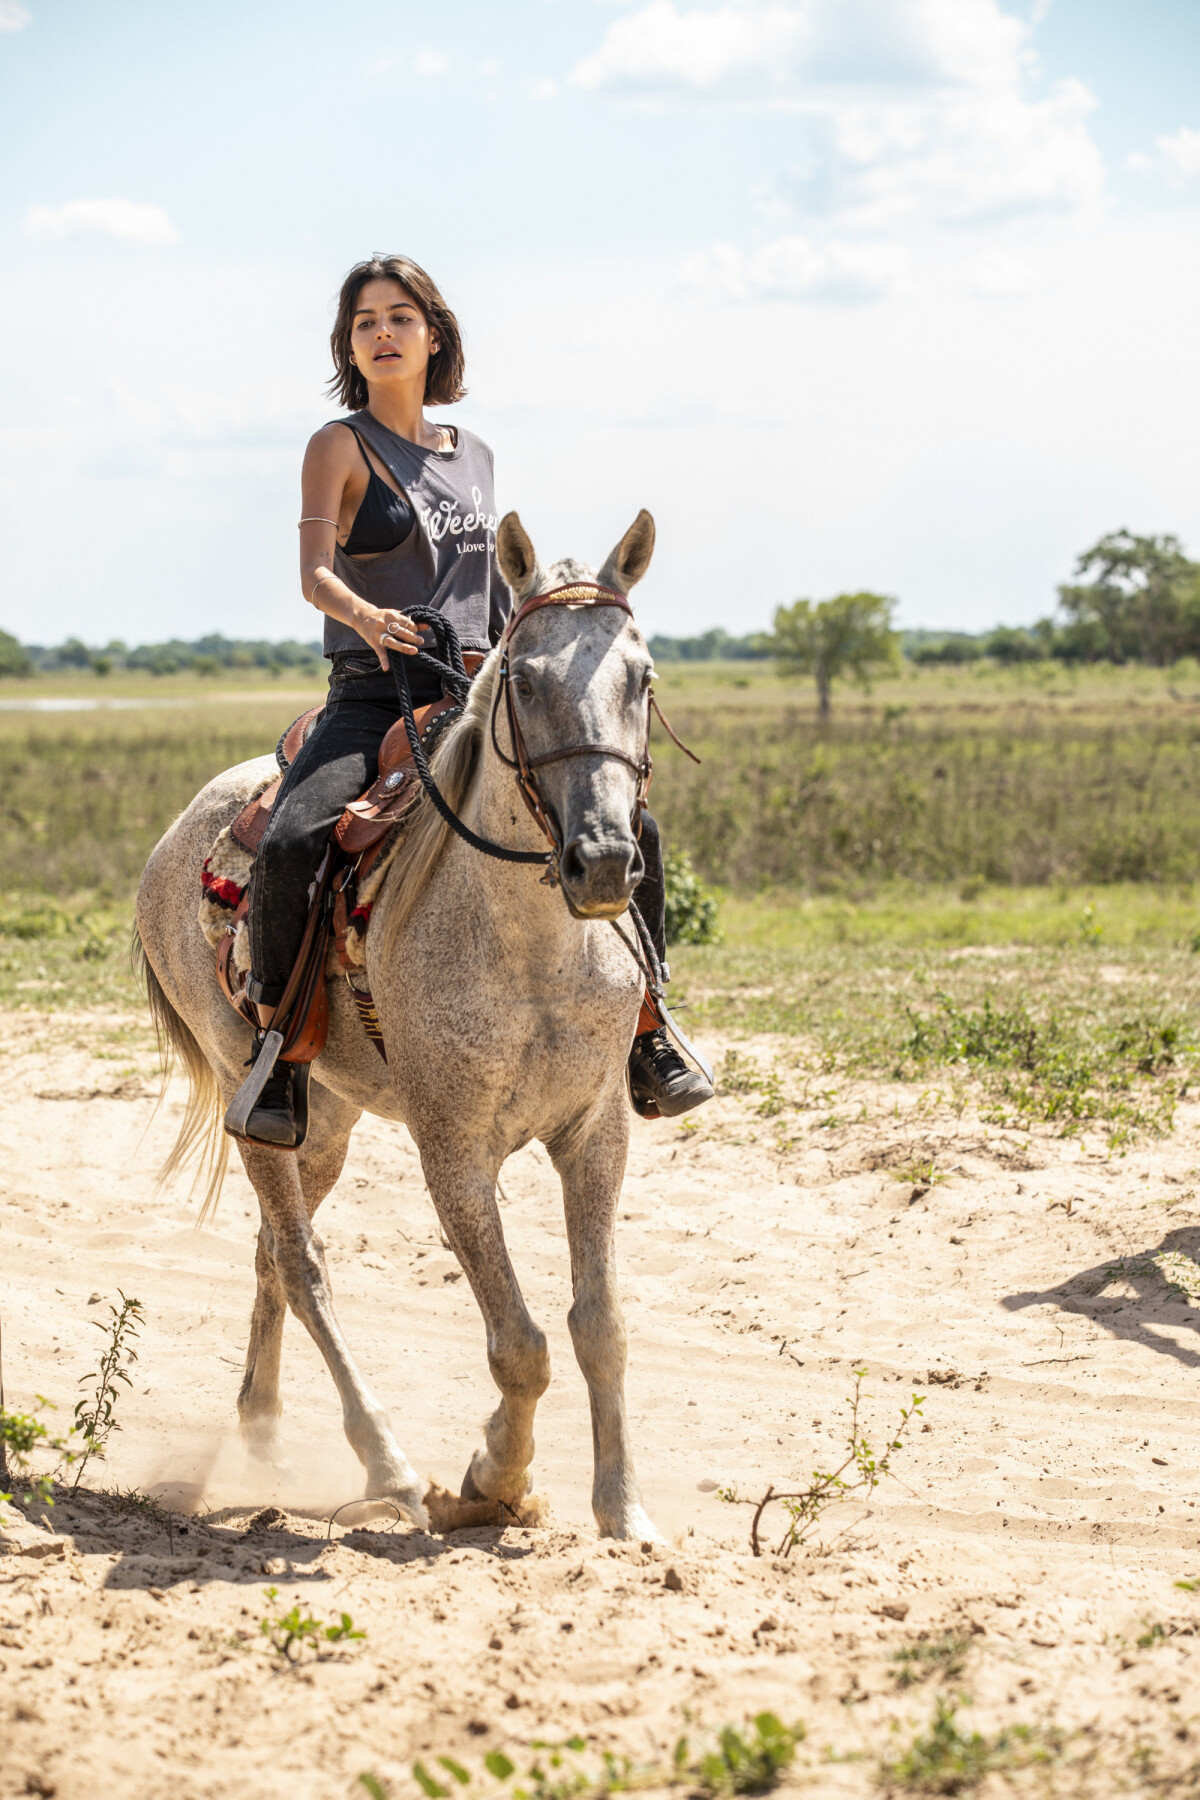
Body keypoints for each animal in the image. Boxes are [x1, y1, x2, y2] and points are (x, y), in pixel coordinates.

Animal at [138, 514, 676, 1540]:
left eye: (641, 676)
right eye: (523, 680)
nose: (601, 862)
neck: (534, 953)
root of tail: (173, 837)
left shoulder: (595, 1132)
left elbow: (601, 1327)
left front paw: (625, 1511)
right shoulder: (454, 1149)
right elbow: (520, 1343)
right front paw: (491, 1480)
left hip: (328, 1120)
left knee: (273, 1254)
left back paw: (263, 1429)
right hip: (250, 1099)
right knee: (302, 1262)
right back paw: (385, 1463)